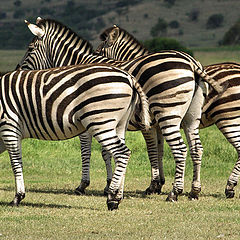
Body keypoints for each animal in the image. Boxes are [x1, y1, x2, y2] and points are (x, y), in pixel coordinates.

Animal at [0, 63, 150, 210]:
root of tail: (129, 77)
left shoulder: (9, 126)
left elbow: (16, 163)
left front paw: (18, 197)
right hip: (120, 124)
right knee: (120, 156)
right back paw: (118, 197)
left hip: (100, 120)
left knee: (122, 153)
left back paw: (112, 198)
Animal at [17, 17, 223, 201]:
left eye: (30, 48)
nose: (18, 69)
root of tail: (192, 63)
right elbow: (111, 152)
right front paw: (113, 186)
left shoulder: (87, 119)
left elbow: (88, 150)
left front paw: (86, 185)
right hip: (191, 117)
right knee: (197, 148)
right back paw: (194, 191)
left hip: (168, 113)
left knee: (180, 149)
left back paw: (175, 193)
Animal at [96, 24, 240, 199]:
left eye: (100, 51)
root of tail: (193, 64)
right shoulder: (156, 125)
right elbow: (159, 151)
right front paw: (158, 183)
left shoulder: (146, 124)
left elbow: (147, 151)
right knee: (196, 148)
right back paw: (195, 190)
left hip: (227, 118)